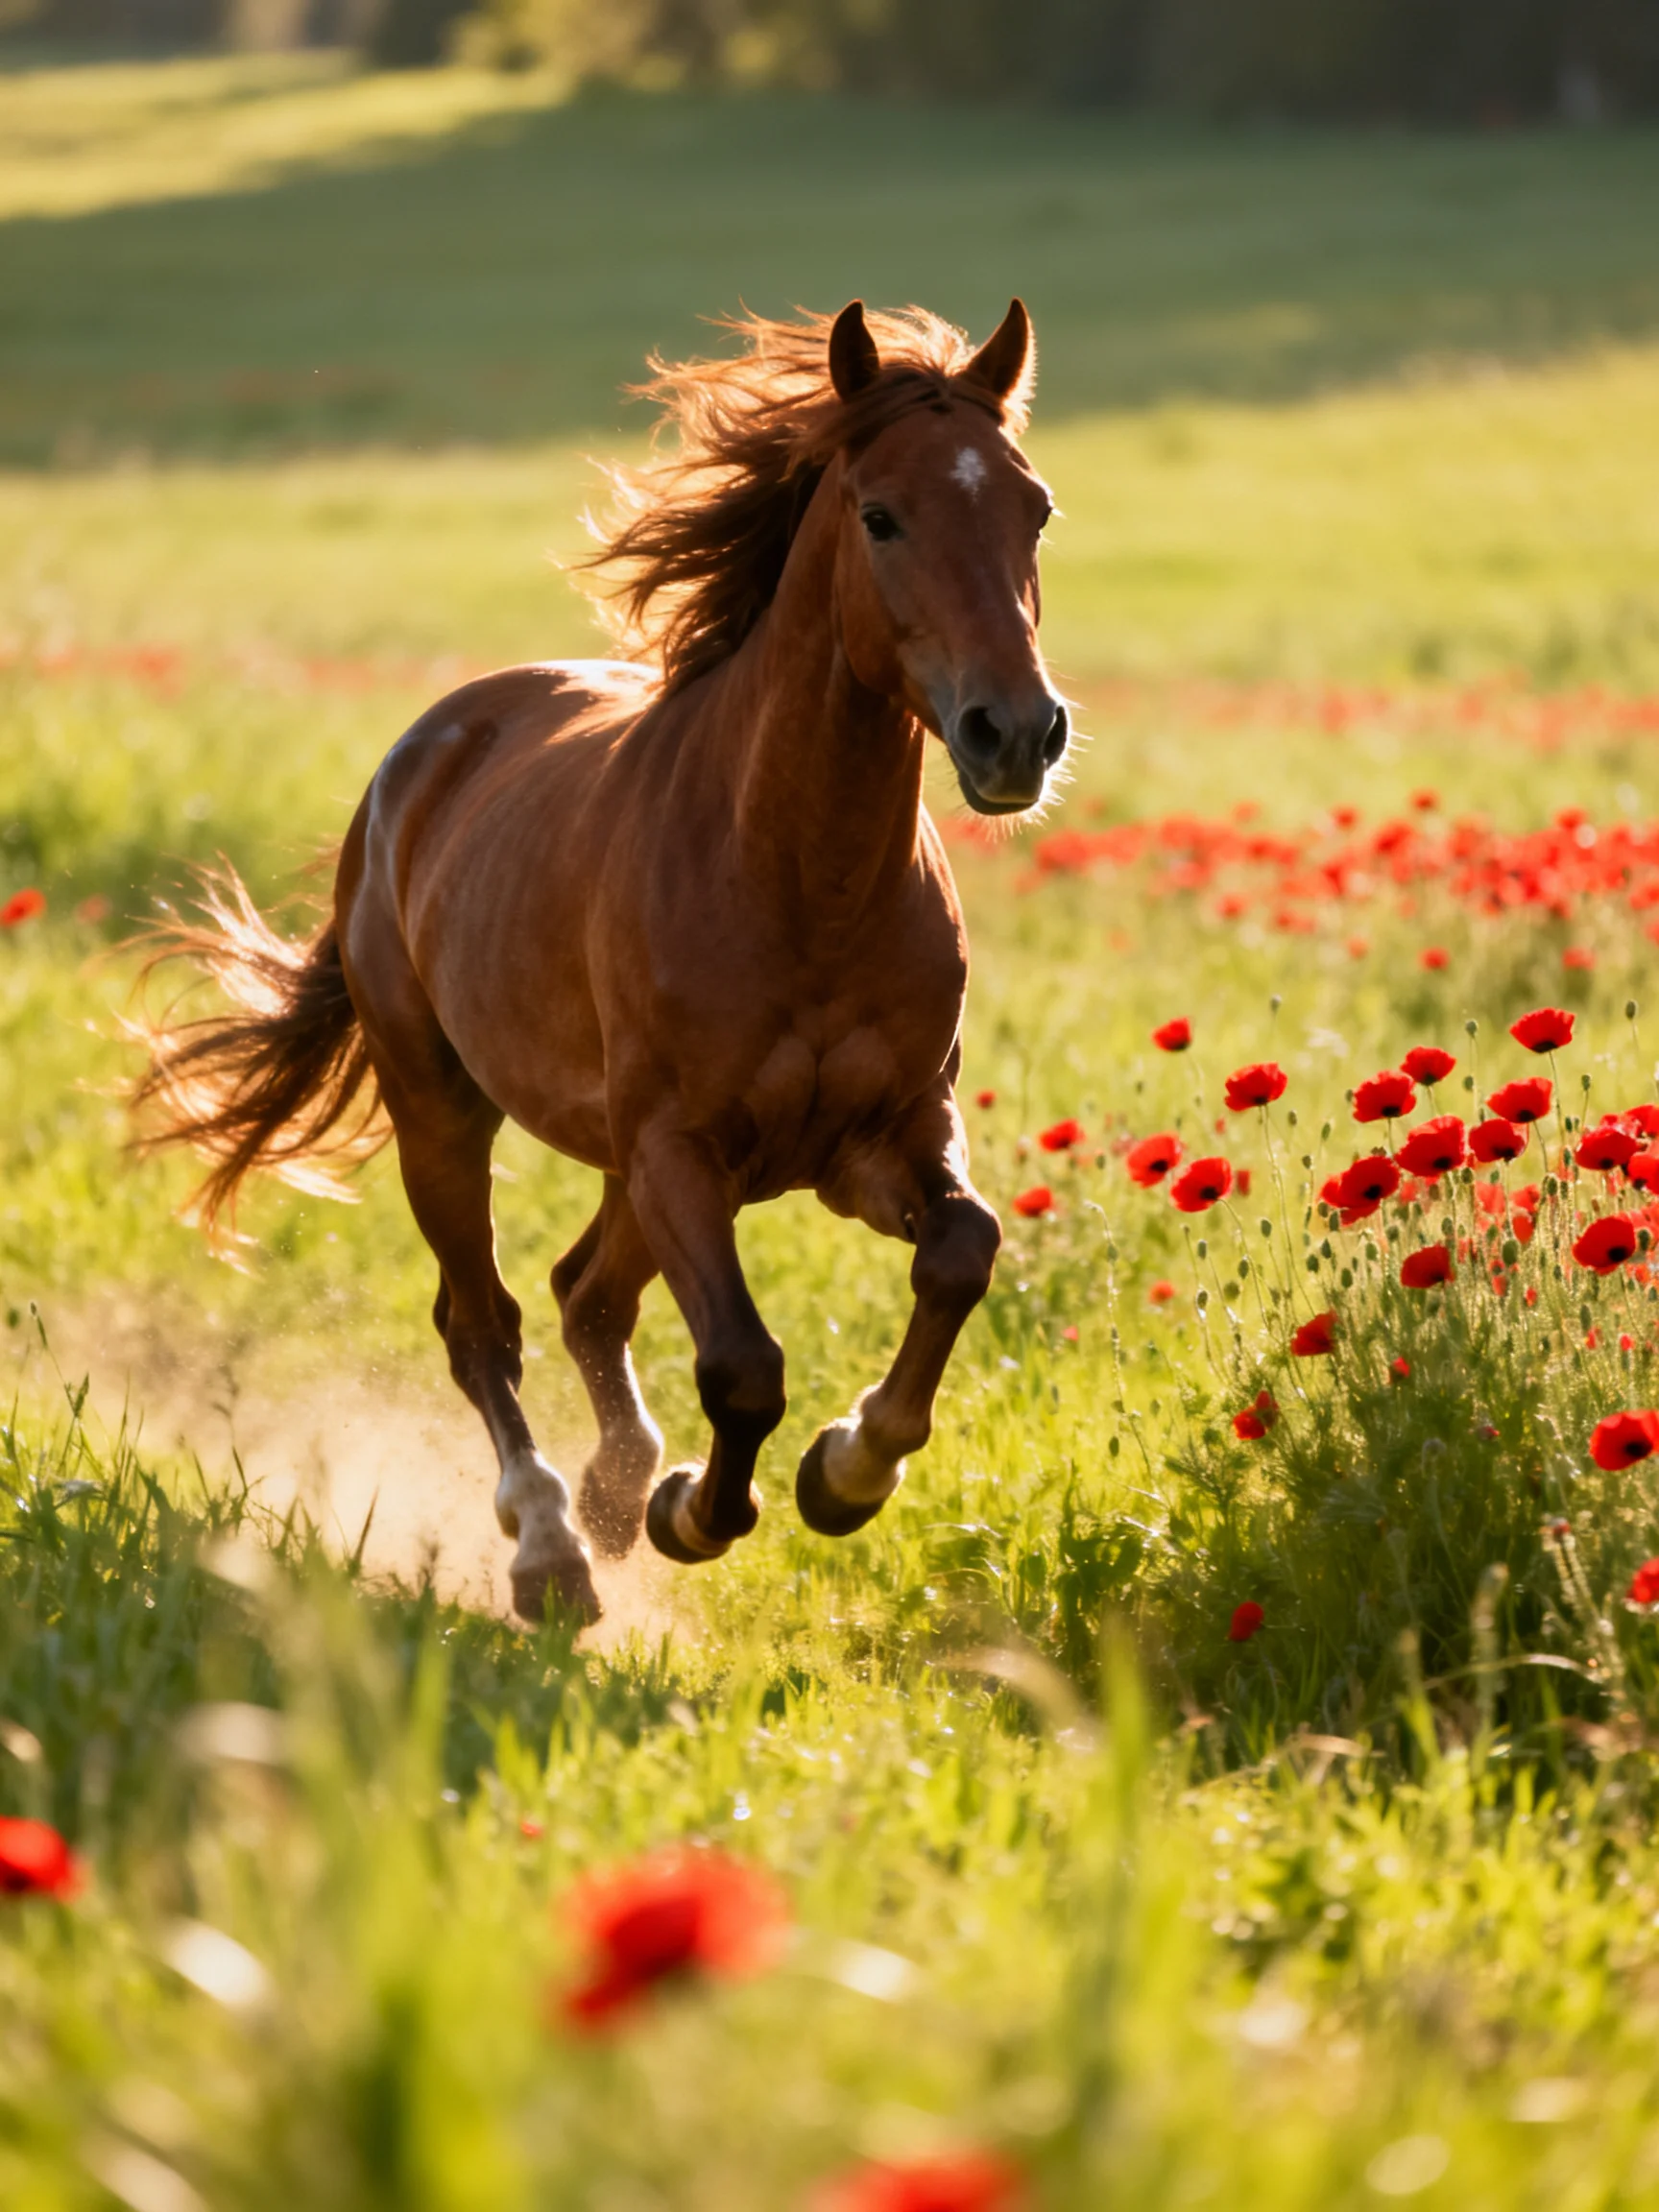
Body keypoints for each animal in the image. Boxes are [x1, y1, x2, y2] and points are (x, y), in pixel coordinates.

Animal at [133, 298, 1068, 1625]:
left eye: (1033, 508)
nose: (1016, 734)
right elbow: (741, 1365)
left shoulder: (881, 1134)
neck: (799, 882)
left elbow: (961, 1252)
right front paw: (697, 1512)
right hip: (444, 1112)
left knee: (587, 1296)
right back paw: (552, 1549)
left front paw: (846, 1470)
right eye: (881, 515)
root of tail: (417, 761)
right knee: (485, 1321)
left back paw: (614, 1496)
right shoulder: (681, 1146)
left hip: (630, 1164)